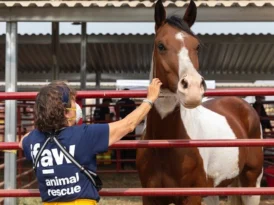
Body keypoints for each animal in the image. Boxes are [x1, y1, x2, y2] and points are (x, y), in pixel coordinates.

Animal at [136, 0, 264, 205]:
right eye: (161, 45)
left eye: (197, 46)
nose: (193, 88)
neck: (165, 144)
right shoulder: (150, 198)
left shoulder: (192, 196)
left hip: (251, 182)